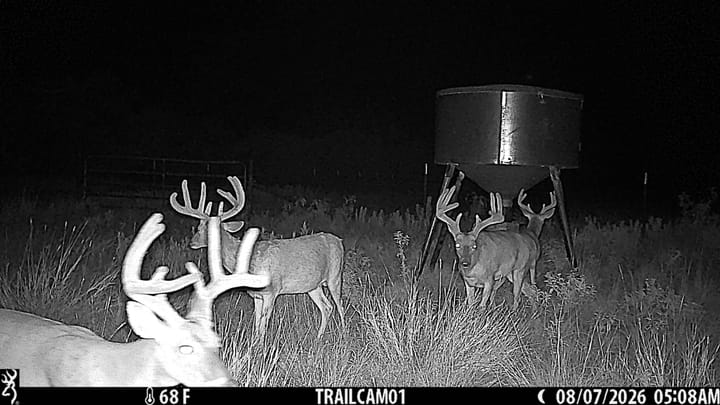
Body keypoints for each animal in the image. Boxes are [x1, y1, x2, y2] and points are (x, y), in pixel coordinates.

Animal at [170, 176, 345, 341]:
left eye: (204, 230)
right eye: (198, 227)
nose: (192, 242)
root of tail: (339, 241)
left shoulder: (272, 291)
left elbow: (263, 322)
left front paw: (261, 346)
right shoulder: (257, 296)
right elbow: (256, 323)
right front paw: (255, 343)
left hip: (335, 276)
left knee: (340, 306)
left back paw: (343, 334)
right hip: (313, 286)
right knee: (327, 307)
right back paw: (319, 337)